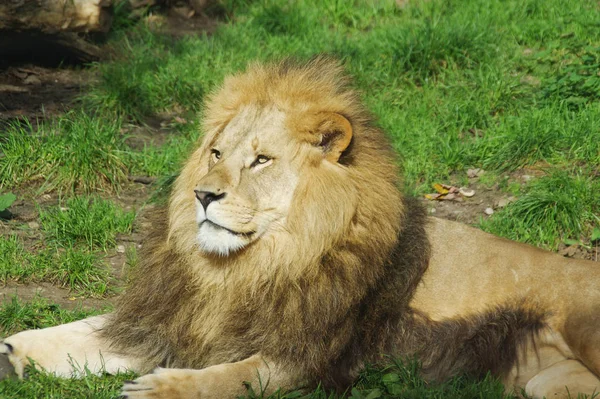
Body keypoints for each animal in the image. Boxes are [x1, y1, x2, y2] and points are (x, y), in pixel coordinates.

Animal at [1, 57, 600, 399]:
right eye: (215, 154)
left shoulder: (307, 359)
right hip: (545, 386)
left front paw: (159, 388)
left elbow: (228, 377)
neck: (241, 270)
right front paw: (14, 352)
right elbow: (82, 331)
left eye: (261, 161)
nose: (203, 195)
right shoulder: (172, 320)